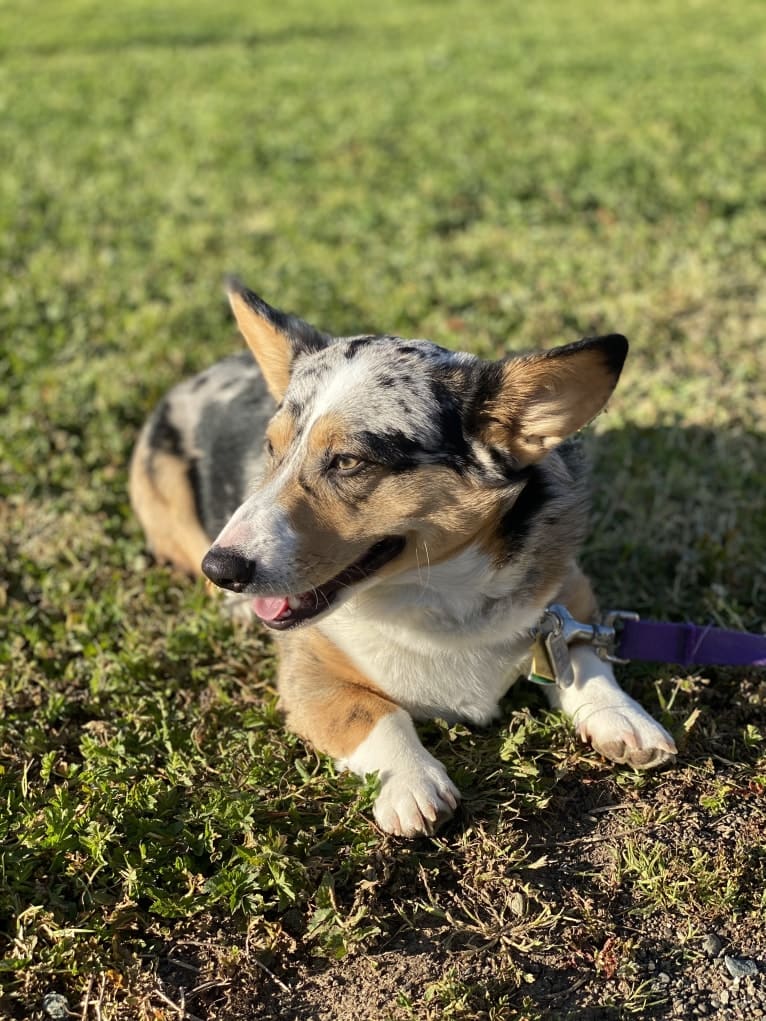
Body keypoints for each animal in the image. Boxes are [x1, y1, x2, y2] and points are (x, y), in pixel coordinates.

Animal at [131, 281, 678, 837]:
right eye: (270, 447)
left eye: (349, 461)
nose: (221, 569)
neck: (438, 595)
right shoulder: (308, 675)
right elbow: (371, 712)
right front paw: (413, 783)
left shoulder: (566, 597)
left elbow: (584, 652)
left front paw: (625, 719)